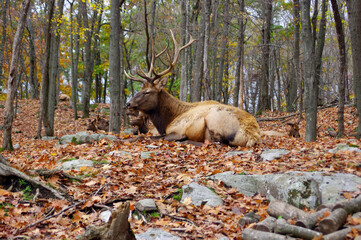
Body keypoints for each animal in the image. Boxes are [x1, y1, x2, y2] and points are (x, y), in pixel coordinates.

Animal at [124, 31, 258, 147]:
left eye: (147, 91)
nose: (128, 103)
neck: (168, 120)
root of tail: (253, 135)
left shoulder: (176, 130)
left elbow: (148, 137)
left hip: (214, 119)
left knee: (216, 142)